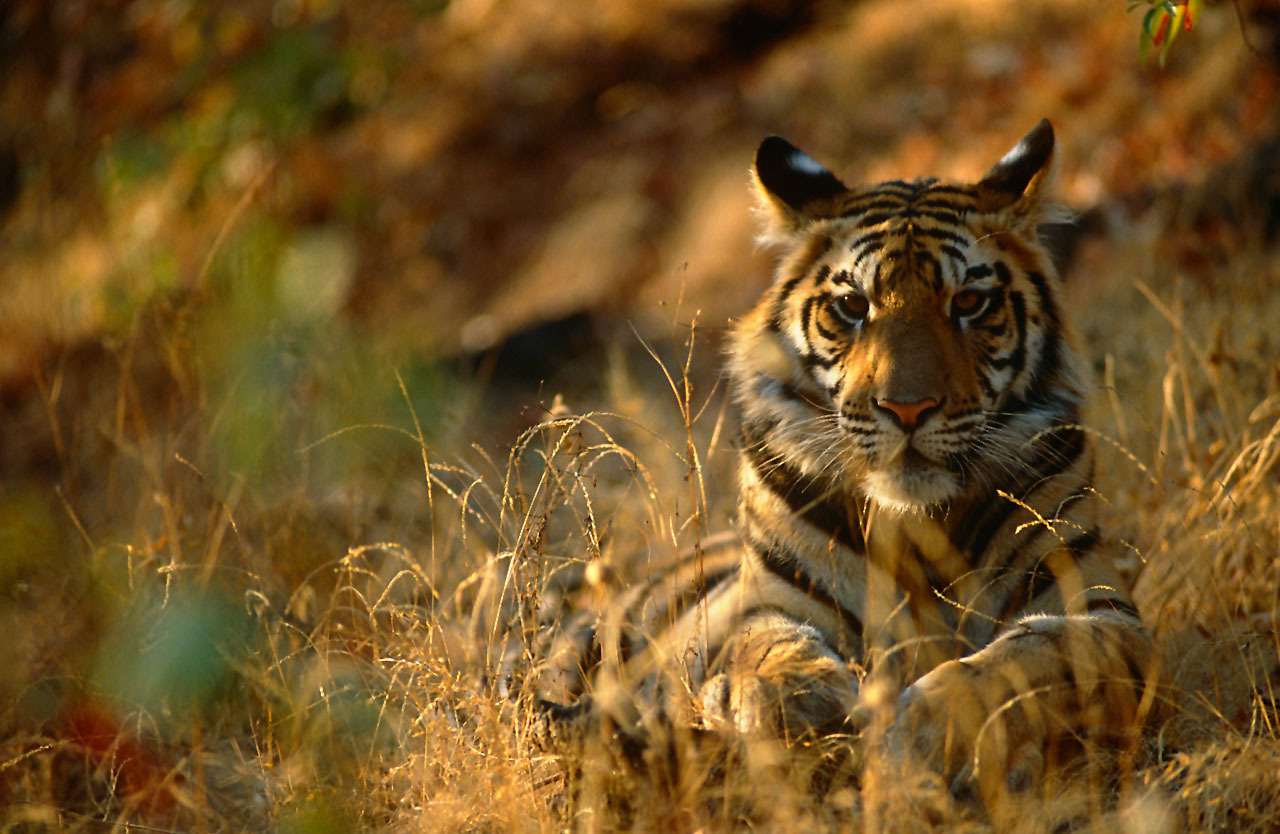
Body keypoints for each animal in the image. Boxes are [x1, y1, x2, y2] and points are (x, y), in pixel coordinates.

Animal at [501, 118, 1162, 808]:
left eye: (969, 303)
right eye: (853, 306)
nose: (907, 408)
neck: (918, 524)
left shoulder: (1104, 612)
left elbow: (1031, 658)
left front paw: (924, 730)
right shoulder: (771, 602)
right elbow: (765, 651)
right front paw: (802, 709)